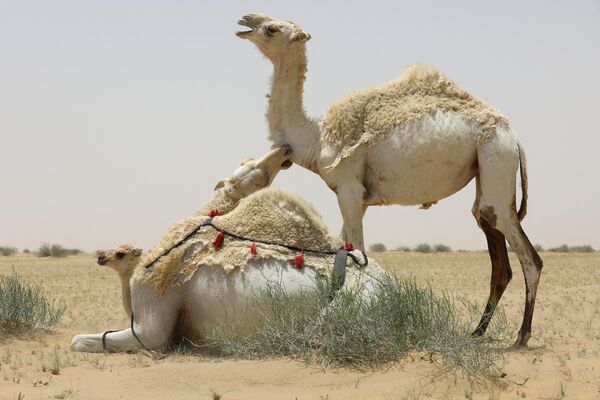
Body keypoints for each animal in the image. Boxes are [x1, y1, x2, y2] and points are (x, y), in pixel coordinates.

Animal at [236, 10, 544, 346]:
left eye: (271, 28)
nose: (244, 20)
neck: (318, 138)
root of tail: (514, 137)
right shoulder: (359, 198)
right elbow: (345, 250)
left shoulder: (348, 189)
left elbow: (358, 252)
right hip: (487, 171)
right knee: (494, 244)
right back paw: (476, 332)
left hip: (496, 158)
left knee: (528, 256)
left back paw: (521, 336)